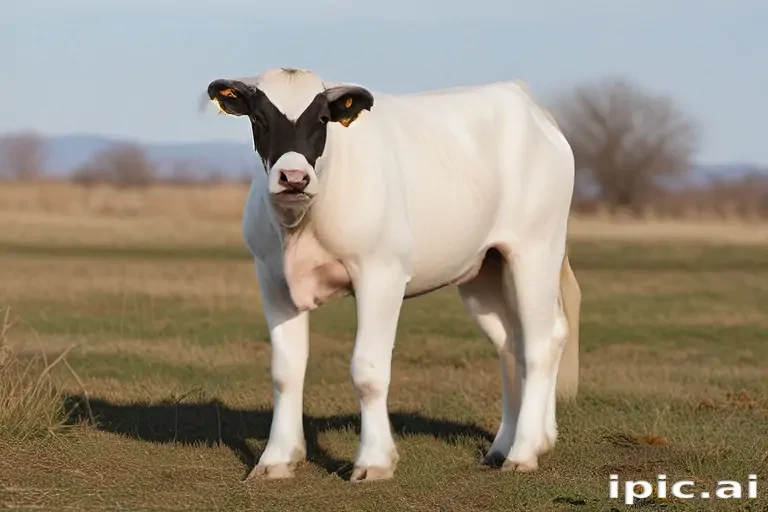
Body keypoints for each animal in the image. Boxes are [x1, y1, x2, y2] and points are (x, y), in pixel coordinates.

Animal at [203, 67, 581, 482]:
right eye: (259, 118)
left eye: (322, 119)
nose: (293, 177)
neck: (300, 227)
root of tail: (522, 96)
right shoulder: (273, 281)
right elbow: (285, 372)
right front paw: (276, 459)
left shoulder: (381, 273)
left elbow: (367, 370)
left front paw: (374, 461)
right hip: (484, 271)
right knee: (511, 344)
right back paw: (510, 444)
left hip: (536, 249)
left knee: (540, 344)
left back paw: (524, 451)